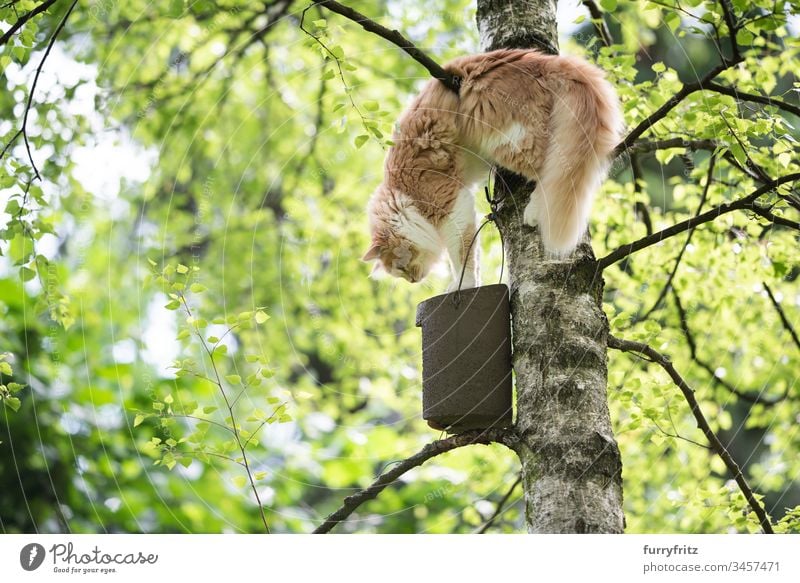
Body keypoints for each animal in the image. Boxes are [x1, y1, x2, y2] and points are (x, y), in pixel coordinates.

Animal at [364, 49, 624, 290]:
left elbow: (462, 256)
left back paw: (534, 212)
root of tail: (545, 61)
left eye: (400, 267)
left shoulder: (453, 205)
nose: (413, 280)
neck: (400, 193)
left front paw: (464, 284)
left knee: (551, 175)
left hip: (508, 141)